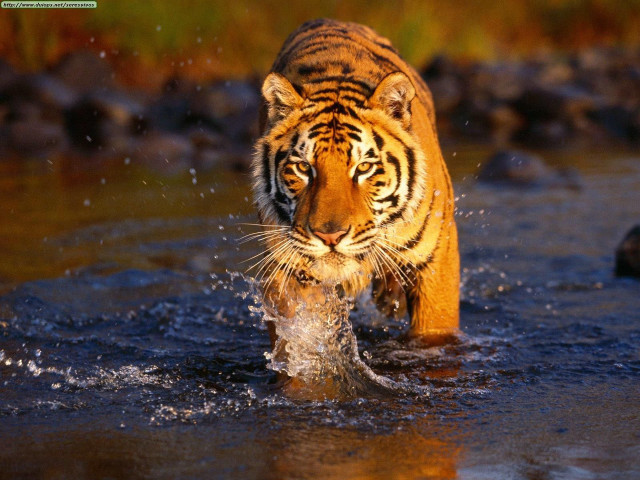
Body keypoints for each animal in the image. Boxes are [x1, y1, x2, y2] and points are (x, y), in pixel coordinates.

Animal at [250, 18, 459, 349]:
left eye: (363, 168)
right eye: (303, 167)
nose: (330, 237)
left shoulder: (436, 260)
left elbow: (434, 331)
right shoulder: (287, 269)